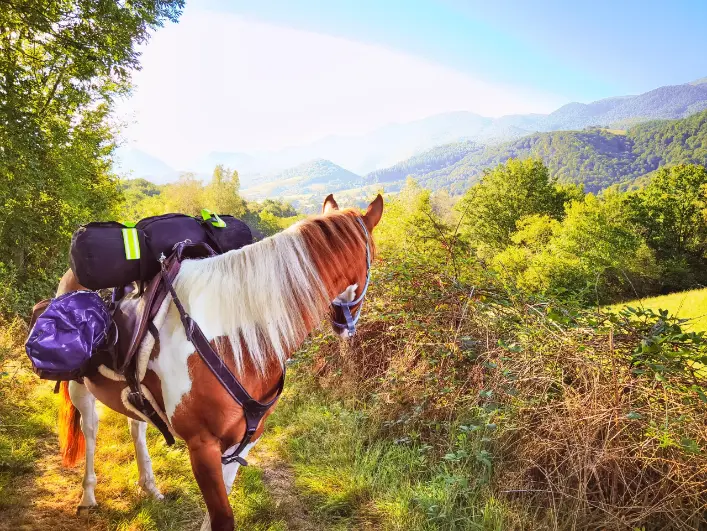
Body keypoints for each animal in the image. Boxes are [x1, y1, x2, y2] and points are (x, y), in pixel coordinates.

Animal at [56, 195, 384, 531]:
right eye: (374, 256)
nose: (347, 326)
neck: (234, 339)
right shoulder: (202, 446)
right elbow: (222, 516)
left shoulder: (243, 441)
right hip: (79, 386)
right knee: (90, 429)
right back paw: (88, 496)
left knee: (136, 426)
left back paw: (149, 486)